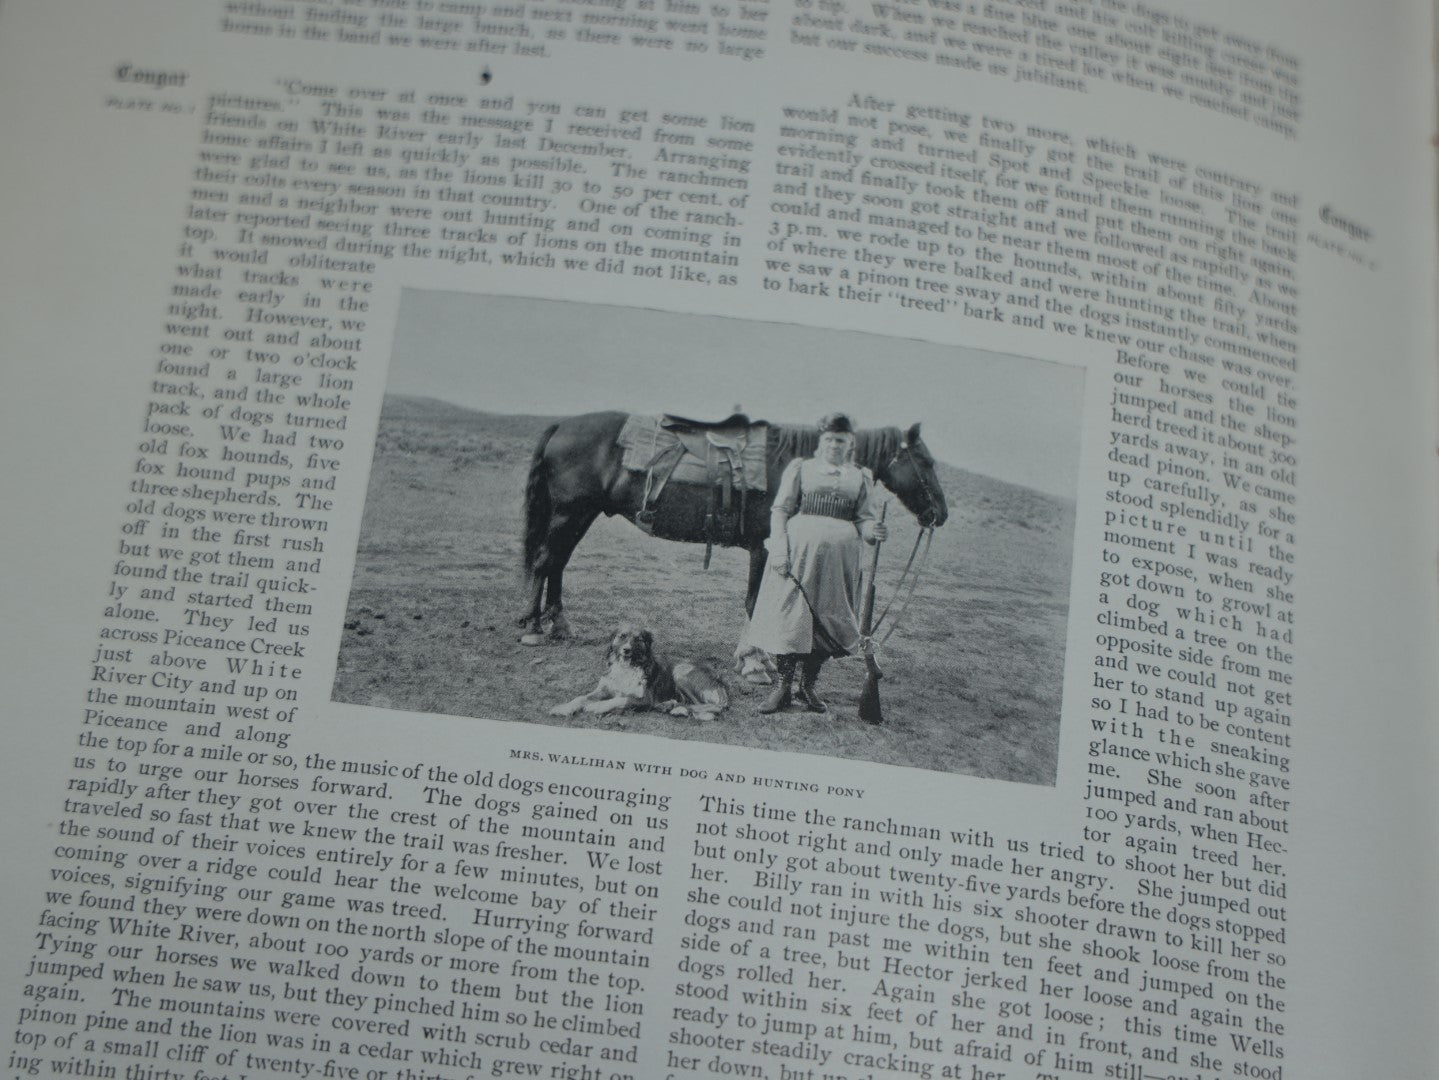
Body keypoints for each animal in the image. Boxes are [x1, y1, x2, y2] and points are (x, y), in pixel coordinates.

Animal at [515, 408, 943, 638]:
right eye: (925, 461)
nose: (940, 513)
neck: (792, 467)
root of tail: (561, 426)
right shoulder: (766, 547)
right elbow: (757, 601)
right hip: (570, 512)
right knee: (545, 561)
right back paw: (533, 626)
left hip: (579, 514)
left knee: (557, 562)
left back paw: (558, 624)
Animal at [549, 624, 731, 719]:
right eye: (622, 636)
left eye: (638, 639)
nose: (626, 650)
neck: (626, 667)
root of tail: (719, 677)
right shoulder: (603, 689)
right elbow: (580, 698)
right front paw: (564, 708)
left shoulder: (645, 698)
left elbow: (621, 699)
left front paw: (598, 706)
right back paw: (669, 705)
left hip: (680, 672)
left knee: (711, 707)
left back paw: (675, 707)